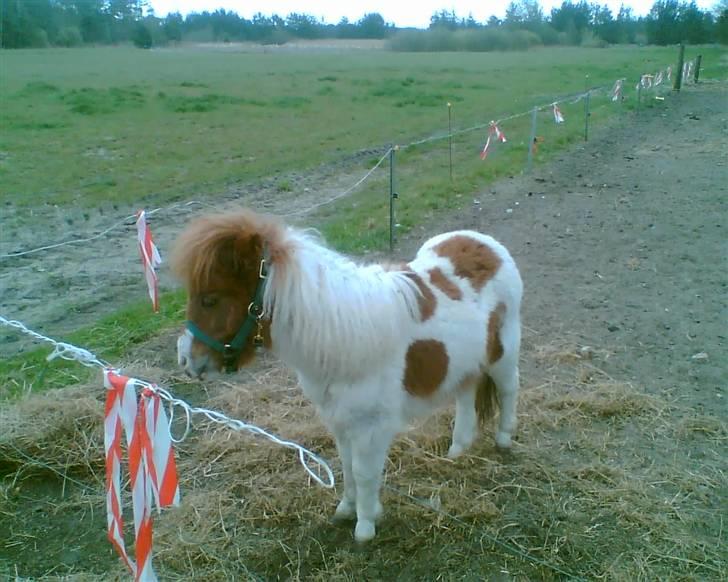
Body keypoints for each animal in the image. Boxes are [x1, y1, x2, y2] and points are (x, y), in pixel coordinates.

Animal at [172, 210, 524, 544]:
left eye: (210, 299)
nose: (186, 360)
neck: (342, 336)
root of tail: (488, 246)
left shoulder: (371, 426)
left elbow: (364, 472)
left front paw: (365, 527)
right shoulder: (339, 420)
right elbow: (347, 467)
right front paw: (346, 510)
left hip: (503, 354)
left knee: (509, 390)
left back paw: (504, 440)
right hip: (465, 363)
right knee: (466, 396)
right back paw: (457, 450)